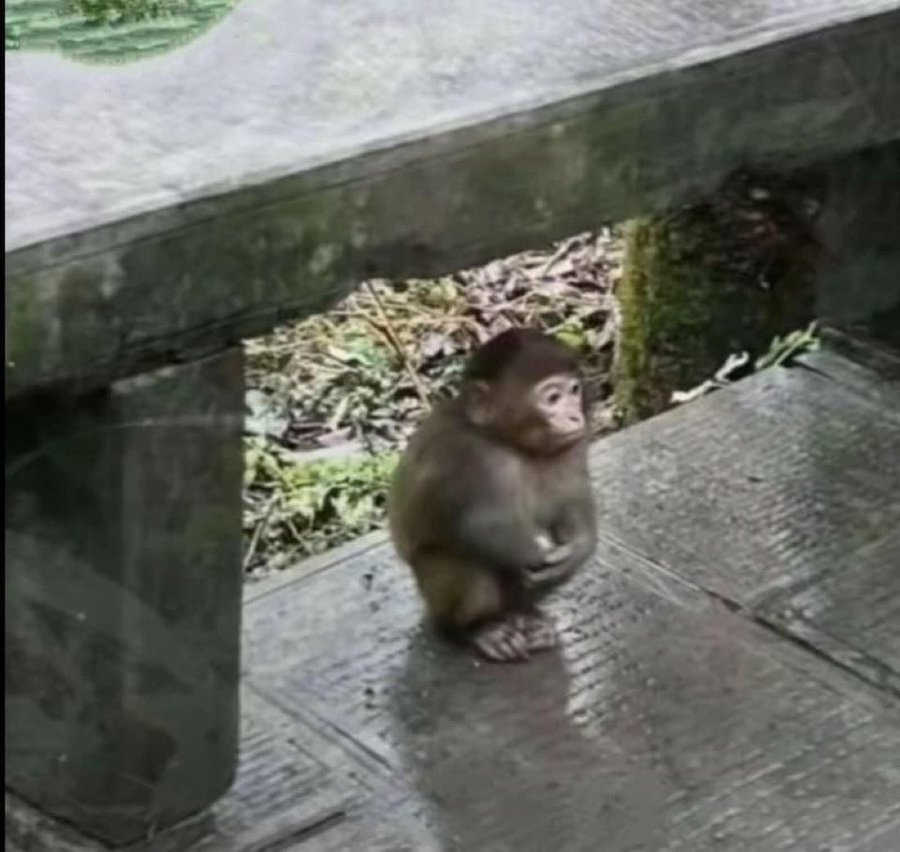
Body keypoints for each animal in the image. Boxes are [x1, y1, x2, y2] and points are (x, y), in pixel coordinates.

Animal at [388, 328, 597, 663]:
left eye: (574, 390)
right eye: (552, 398)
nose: (575, 416)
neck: (508, 440)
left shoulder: (572, 443)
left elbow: (573, 498)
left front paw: (578, 548)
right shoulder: (469, 456)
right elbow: (476, 526)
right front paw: (534, 553)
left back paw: (527, 616)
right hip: (433, 588)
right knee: (469, 567)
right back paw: (475, 629)